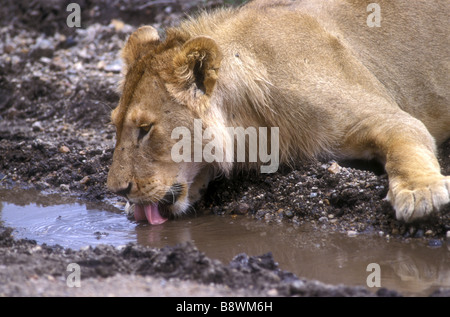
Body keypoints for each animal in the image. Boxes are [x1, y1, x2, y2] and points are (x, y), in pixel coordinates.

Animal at [106, 0, 450, 223]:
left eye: (145, 129)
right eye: (115, 126)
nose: (117, 191)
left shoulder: (390, 117)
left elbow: (406, 146)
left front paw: (420, 192)